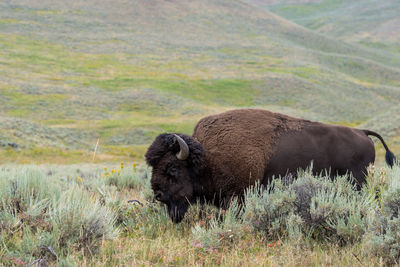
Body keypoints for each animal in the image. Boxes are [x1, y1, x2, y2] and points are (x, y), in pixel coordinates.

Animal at [145, 110, 396, 223]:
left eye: (172, 168)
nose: (158, 194)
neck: (206, 158)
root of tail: (362, 132)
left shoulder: (238, 195)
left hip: (358, 182)